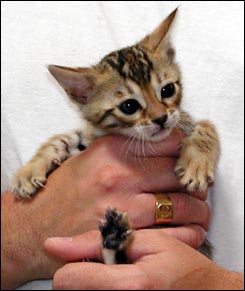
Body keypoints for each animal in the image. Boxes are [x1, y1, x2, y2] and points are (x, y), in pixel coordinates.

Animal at [11, 9, 220, 260]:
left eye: (168, 90)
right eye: (129, 106)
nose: (161, 118)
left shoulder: (184, 120)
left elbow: (206, 128)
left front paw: (196, 164)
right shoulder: (88, 139)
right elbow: (62, 139)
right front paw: (29, 171)